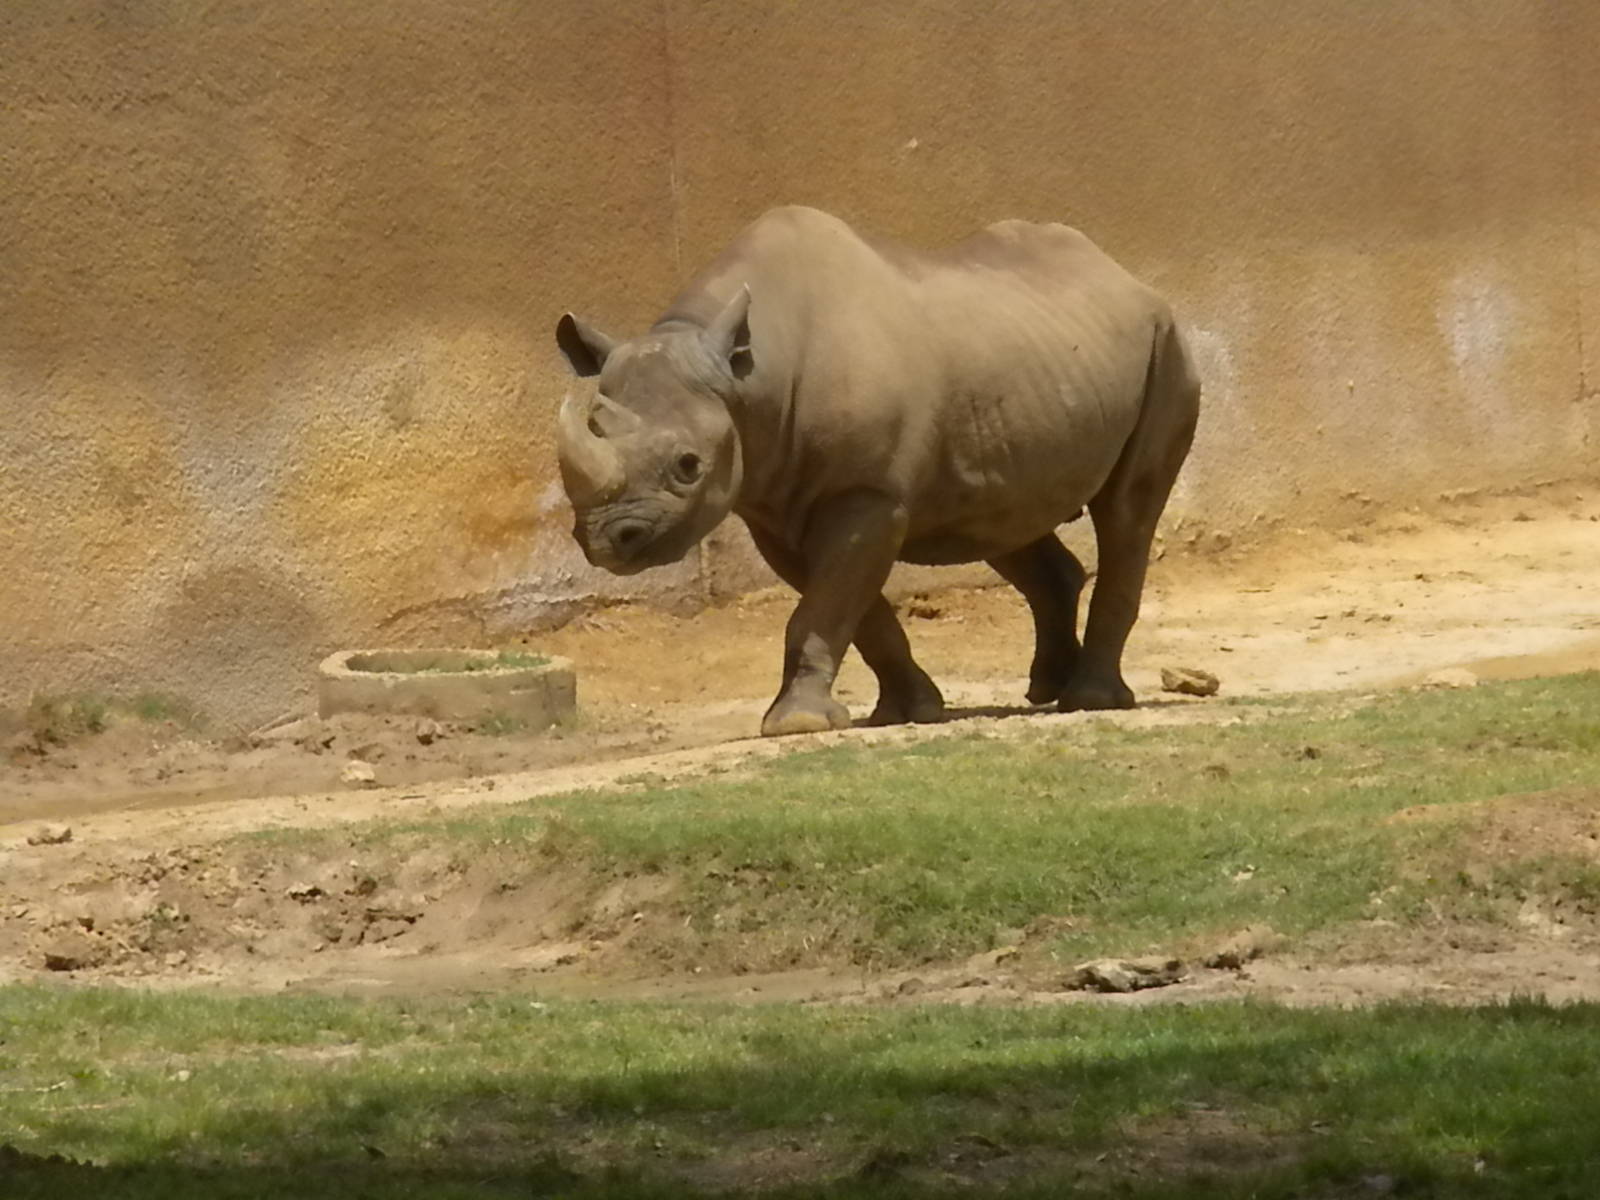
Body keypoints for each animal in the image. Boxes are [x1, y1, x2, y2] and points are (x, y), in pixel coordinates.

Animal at [554, 206, 1199, 737]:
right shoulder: (777, 507)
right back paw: (1047, 689)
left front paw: (797, 724)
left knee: (1127, 509)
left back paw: (1090, 699)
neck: (746, 379)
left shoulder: (868, 493)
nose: (608, 541)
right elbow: (854, 610)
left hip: (1167, 347)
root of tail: (1127, 277)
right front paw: (909, 711)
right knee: (1005, 515)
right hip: (1031, 363)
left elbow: (825, 606)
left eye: (688, 466)